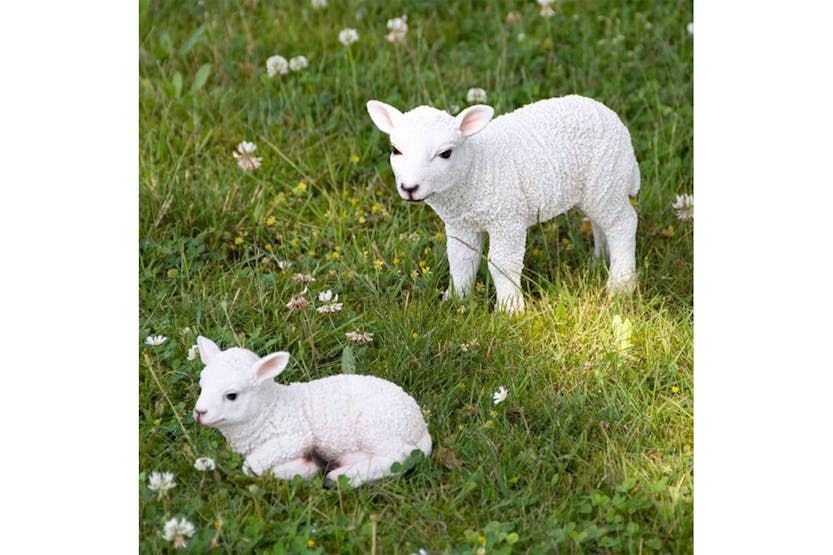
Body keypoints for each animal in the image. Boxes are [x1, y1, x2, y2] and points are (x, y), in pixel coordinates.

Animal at [192, 336, 432, 487]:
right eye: (202, 384)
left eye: (232, 395)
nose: (199, 412)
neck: (269, 409)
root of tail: (420, 426)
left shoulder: (293, 438)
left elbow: (250, 467)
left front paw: (303, 469)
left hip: (379, 427)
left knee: (400, 457)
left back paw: (339, 477)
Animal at [366, 95, 640, 313]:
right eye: (396, 150)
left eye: (446, 153)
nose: (409, 189)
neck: (474, 168)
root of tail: (613, 119)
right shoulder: (461, 224)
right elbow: (461, 261)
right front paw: (455, 300)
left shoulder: (506, 219)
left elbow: (502, 263)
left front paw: (510, 310)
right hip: (598, 188)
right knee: (601, 222)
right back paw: (599, 261)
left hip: (607, 175)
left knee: (623, 223)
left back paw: (620, 284)